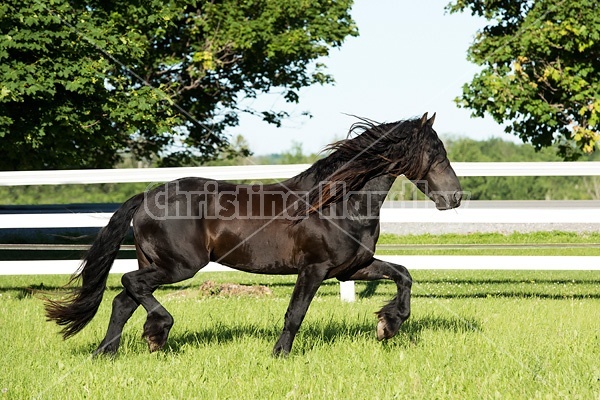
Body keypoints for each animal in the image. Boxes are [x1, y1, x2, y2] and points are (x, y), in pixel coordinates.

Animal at [45, 112, 464, 356]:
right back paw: (157, 333)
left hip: (158, 263)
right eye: (436, 152)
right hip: (179, 266)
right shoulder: (314, 269)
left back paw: (108, 352)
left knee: (124, 299)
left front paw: (387, 325)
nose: (455, 197)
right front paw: (280, 354)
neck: (338, 202)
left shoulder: (350, 268)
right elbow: (295, 313)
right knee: (131, 284)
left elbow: (403, 275)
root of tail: (147, 196)